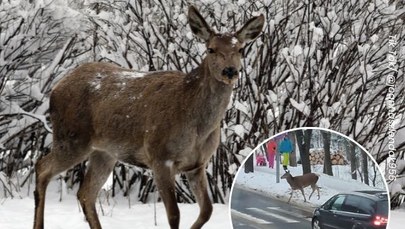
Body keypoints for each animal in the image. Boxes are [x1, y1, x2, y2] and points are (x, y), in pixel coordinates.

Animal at [33, 4, 264, 229]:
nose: (230, 71)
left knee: (85, 193)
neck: (197, 127)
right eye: (211, 49)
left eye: (241, 49)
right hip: (71, 137)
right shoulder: (159, 156)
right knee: (42, 168)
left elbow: (207, 210)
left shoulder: (197, 164)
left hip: (104, 152)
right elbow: (174, 214)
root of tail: (55, 88)